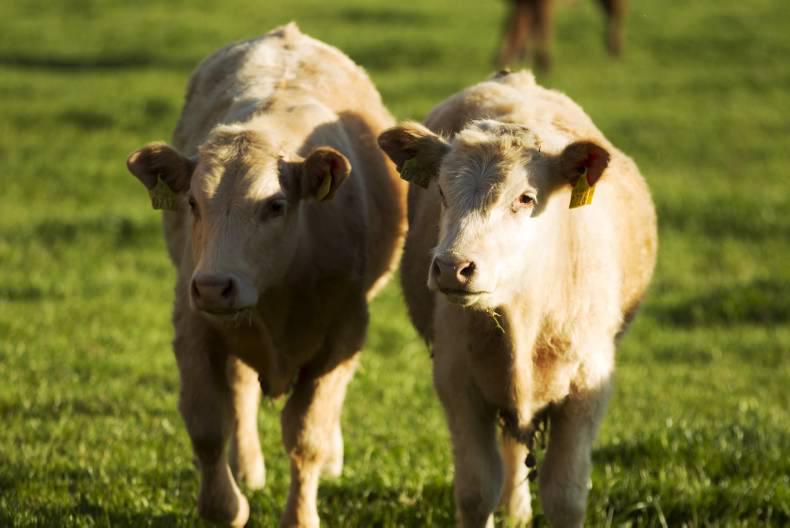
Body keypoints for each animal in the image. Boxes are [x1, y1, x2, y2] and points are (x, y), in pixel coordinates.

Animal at [125, 23, 406, 527]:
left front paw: (301, 513)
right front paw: (226, 504)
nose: (214, 286)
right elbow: (206, 423)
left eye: (275, 205)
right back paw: (247, 469)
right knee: (238, 392)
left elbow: (307, 435)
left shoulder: (344, 332)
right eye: (193, 202)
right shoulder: (193, 323)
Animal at [378, 70, 656, 527]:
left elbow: (565, 494)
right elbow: (476, 490)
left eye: (525, 198)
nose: (452, 266)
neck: (524, 316)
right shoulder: (457, 381)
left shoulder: (588, 389)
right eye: (442, 193)